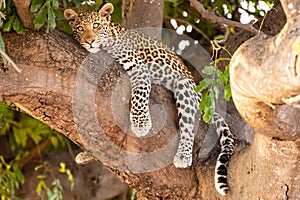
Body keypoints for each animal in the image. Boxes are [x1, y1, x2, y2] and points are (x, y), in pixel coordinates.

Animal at [64, 2, 236, 195]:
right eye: (80, 28)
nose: (89, 41)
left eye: (96, 26)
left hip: (184, 85)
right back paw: (86, 155)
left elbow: (140, 94)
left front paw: (141, 124)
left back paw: (183, 155)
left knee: (189, 123)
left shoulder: (138, 66)